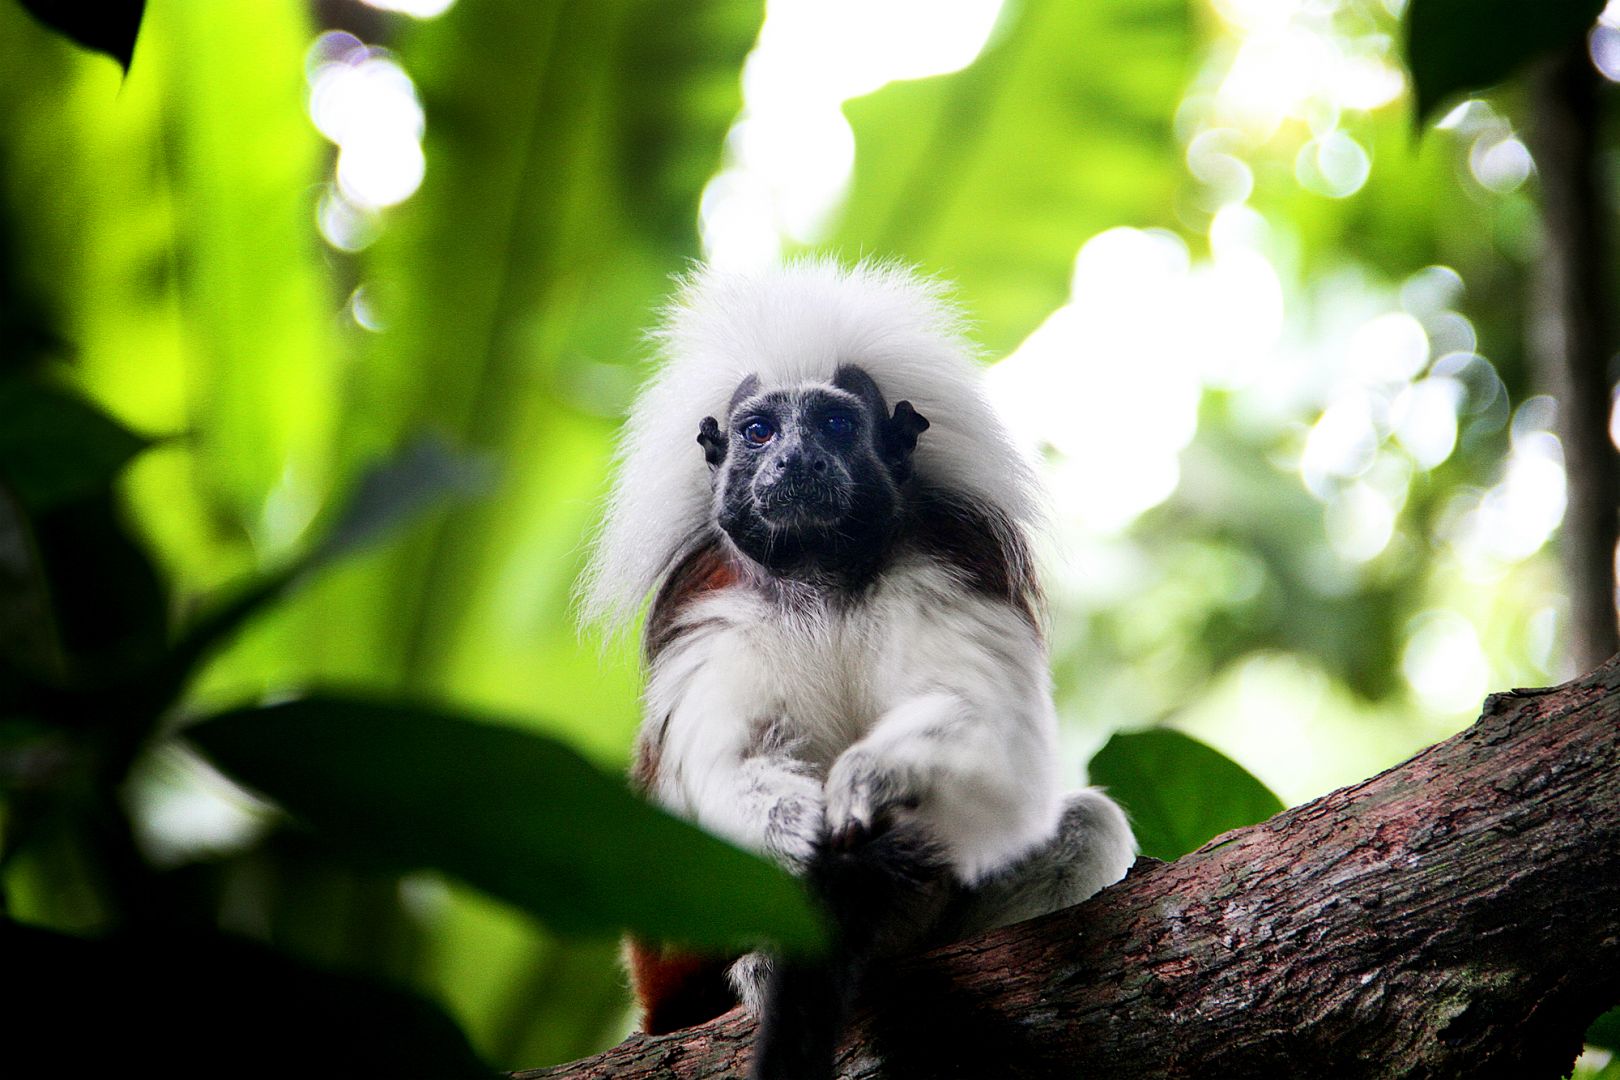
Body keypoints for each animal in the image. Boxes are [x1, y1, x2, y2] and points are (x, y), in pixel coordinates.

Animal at [580, 259, 1136, 1076]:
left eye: (836, 426)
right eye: (759, 432)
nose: (795, 460)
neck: (822, 579)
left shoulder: (946, 567)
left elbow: (987, 731)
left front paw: (875, 780)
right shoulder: (715, 608)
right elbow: (734, 762)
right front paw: (804, 830)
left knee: (1085, 826)